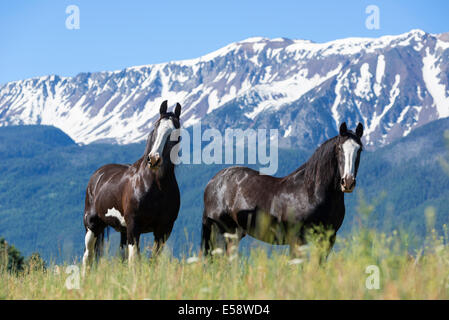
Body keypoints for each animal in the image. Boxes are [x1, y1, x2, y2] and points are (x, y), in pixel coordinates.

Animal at [83, 100, 181, 272]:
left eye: (175, 133)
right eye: (155, 128)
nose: (154, 159)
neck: (156, 186)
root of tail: (97, 175)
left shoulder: (164, 230)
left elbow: (153, 261)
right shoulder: (134, 227)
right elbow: (135, 261)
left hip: (122, 230)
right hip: (92, 226)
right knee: (87, 257)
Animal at [201, 122, 362, 258]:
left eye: (359, 150)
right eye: (339, 148)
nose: (348, 182)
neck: (311, 194)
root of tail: (213, 182)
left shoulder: (328, 239)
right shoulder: (297, 239)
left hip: (235, 233)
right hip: (222, 232)